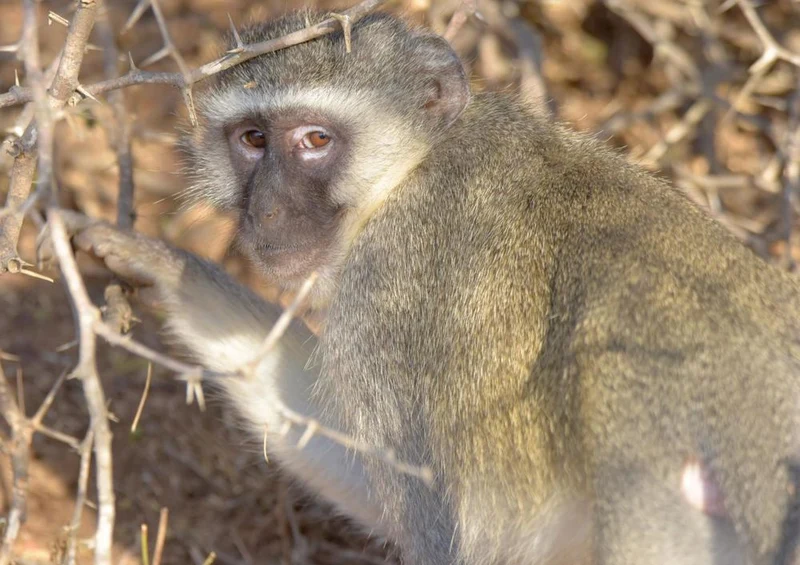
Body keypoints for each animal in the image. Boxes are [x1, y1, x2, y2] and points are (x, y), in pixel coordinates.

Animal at [43, 10, 800, 565]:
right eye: (253, 139)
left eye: (315, 140)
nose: (268, 212)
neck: (410, 171)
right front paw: (161, 265)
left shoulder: (394, 291)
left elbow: (451, 530)